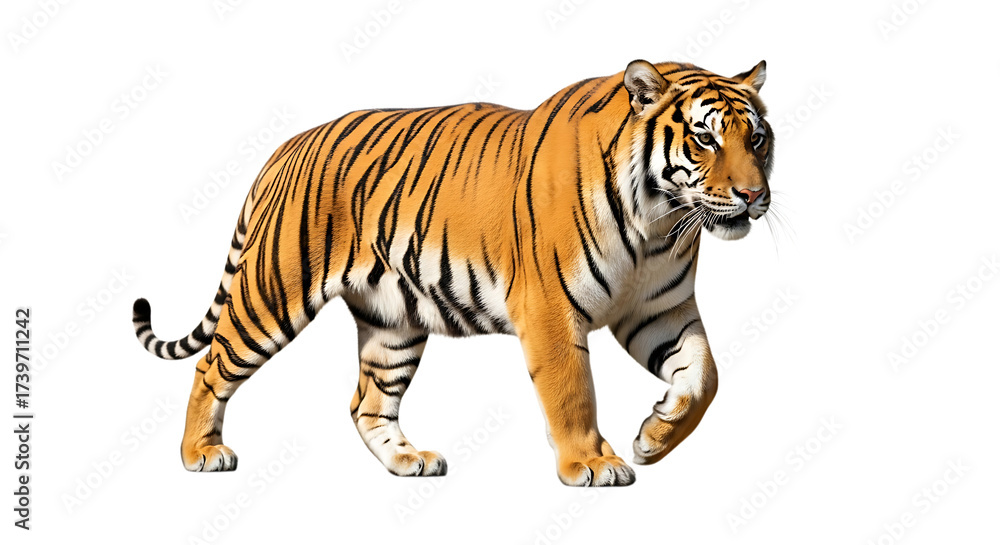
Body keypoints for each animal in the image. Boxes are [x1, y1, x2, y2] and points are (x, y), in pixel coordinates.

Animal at [132, 59, 773, 486]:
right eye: (704, 138)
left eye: (758, 139)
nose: (753, 195)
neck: (658, 225)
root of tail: (285, 149)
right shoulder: (550, 310)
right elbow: (574, 392)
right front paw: (592, 463)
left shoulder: (658, 310)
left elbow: (705, 377)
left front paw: (655, 437)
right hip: (272, 293)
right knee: (212, 365)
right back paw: (200, 453)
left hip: (392, 324)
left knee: (366, 402)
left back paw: (408, 460)